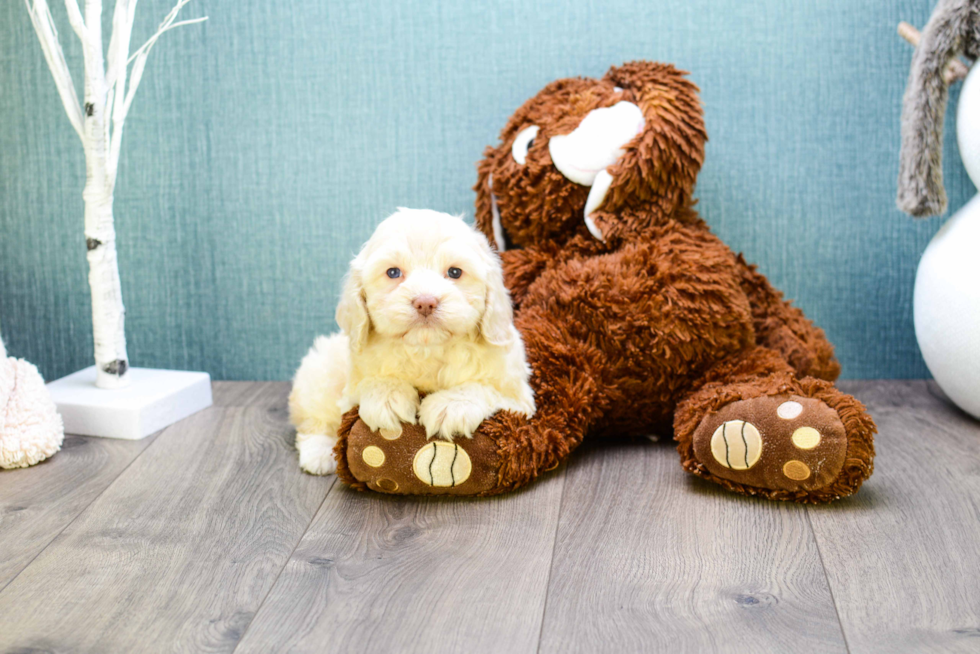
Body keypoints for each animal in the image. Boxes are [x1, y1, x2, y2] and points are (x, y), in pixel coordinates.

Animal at [290, 209, 536, 476]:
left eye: (455, 272)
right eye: (393, 273)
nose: (425, 302)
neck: (427, 348)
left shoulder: (518, 397)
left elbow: (485, 387)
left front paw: (451, 406)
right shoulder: (351, 385)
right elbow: (369, 383)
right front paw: (387, 396)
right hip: (319, 373)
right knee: (316, 417)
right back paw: (319, 453)